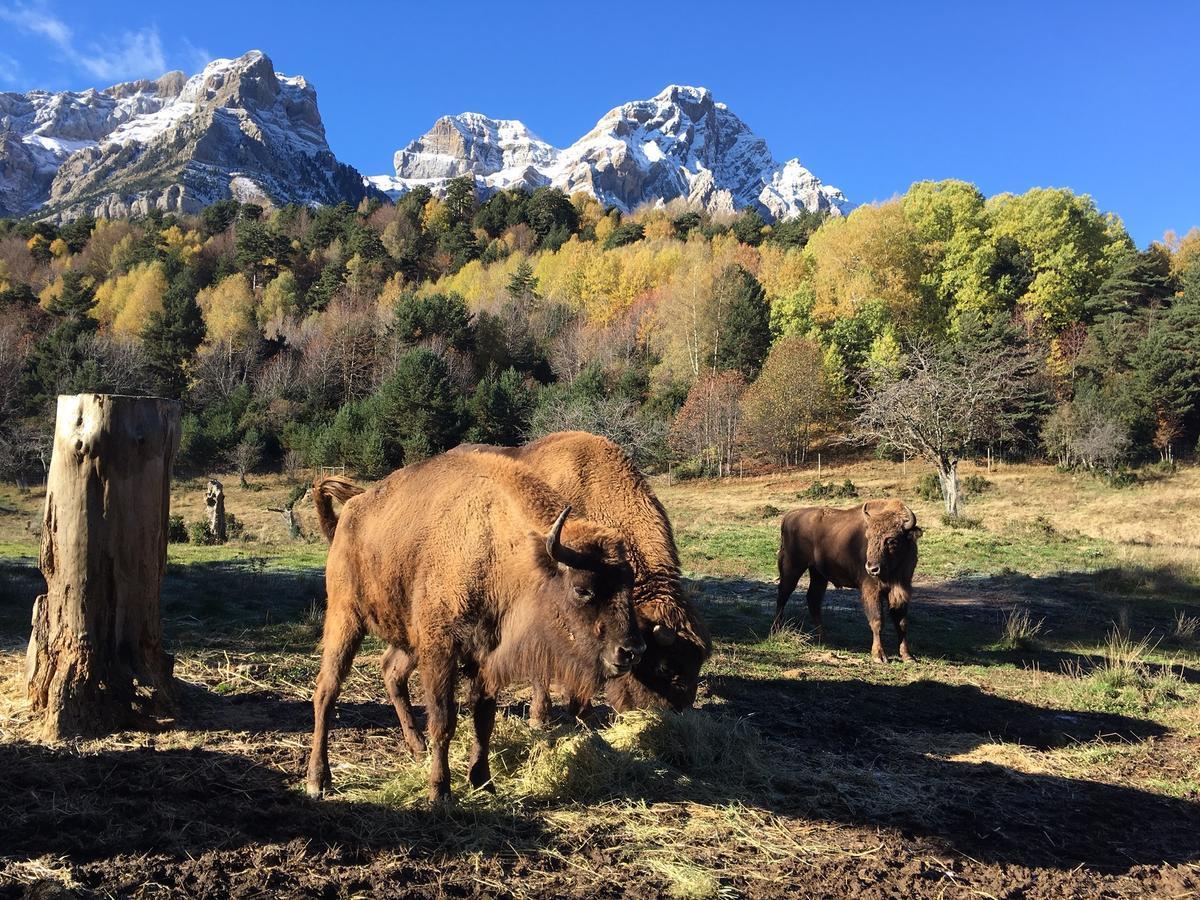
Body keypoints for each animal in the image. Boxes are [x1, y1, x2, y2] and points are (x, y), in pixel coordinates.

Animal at [309, 451, 648, 801]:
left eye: (629, 583)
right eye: (582, 589)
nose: (632, 651)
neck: (498, 547)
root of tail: (348, 516)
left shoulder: (484, 655)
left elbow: (483, 718)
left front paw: (483, 781)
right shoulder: (441, 648)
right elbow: (443, 718)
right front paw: (440, 791)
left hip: (406, 637)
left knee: (391, 671)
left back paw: (417, 749)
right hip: (345, 618)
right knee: (326, 690)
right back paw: (318, 779)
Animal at [772, 501, 921, 662]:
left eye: (892, 540)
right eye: (868, 537)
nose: (872, 568)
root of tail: (789, 516)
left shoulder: (901, 590)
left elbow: (902, 623)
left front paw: (908, 656)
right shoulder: (871, 590)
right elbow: (877, 620)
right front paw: (879, 656)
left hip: (818, 574)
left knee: (813, 600)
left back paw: (823, 638)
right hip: (793, 567)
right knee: (783, 594)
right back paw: (776, 630)